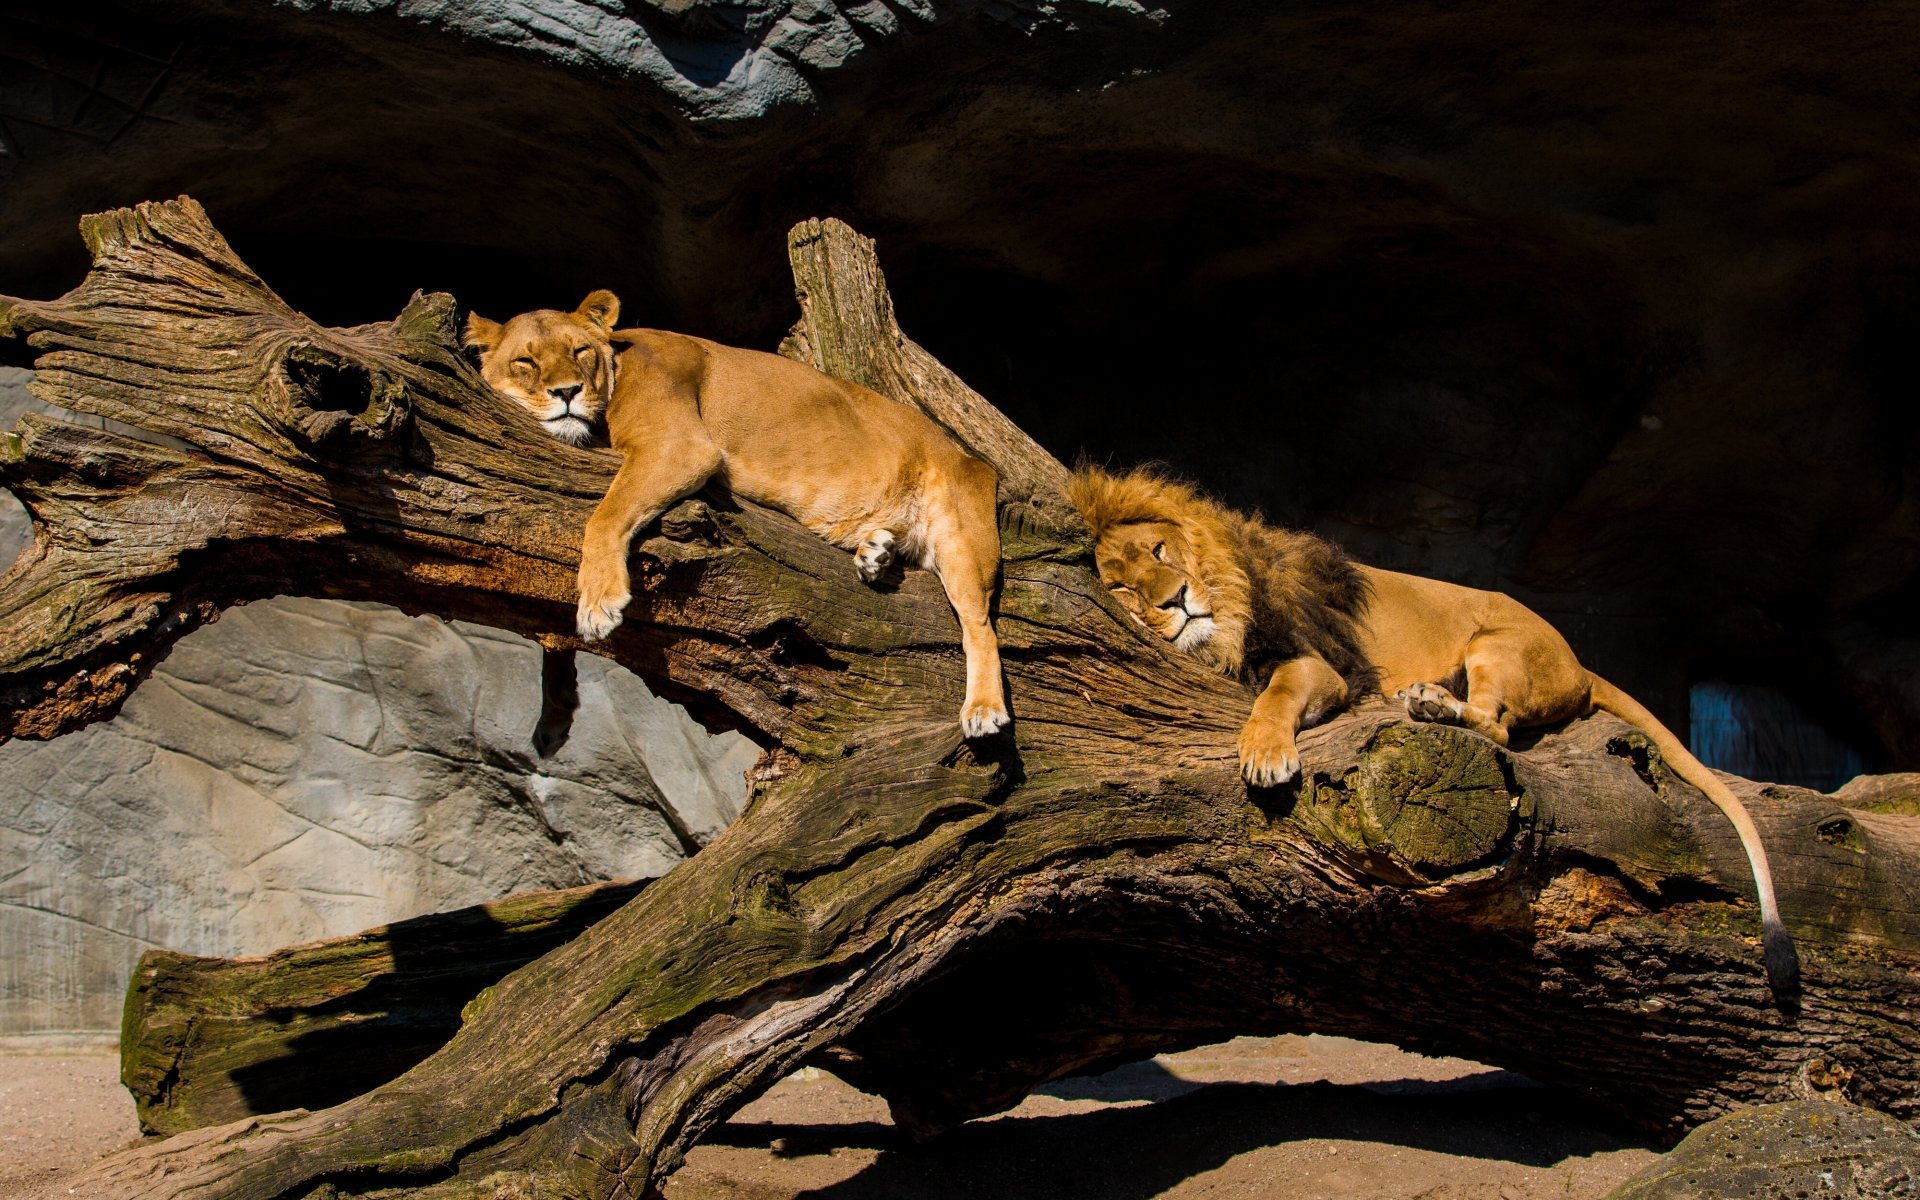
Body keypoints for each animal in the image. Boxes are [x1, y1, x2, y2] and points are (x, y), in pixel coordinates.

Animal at [464, 291, 1009, 738]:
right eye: (525, 362)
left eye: (579, 352)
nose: (566, 393)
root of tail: (973, 460)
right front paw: (554, 712)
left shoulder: (681, 447)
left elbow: (604, 516)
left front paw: (598, 605)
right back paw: (874, 553)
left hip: (962, 538)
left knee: (980, 627)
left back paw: (983, 709)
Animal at [1068, 464, 1799, 995]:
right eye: (1121, 586)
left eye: (1160, 549)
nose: (1177, 599)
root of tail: (1579, 663)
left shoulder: (1321, 665)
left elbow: (1274, 695)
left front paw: (1265, 752)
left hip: (1494, 644)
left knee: (1498, 730)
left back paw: (1430, 703)